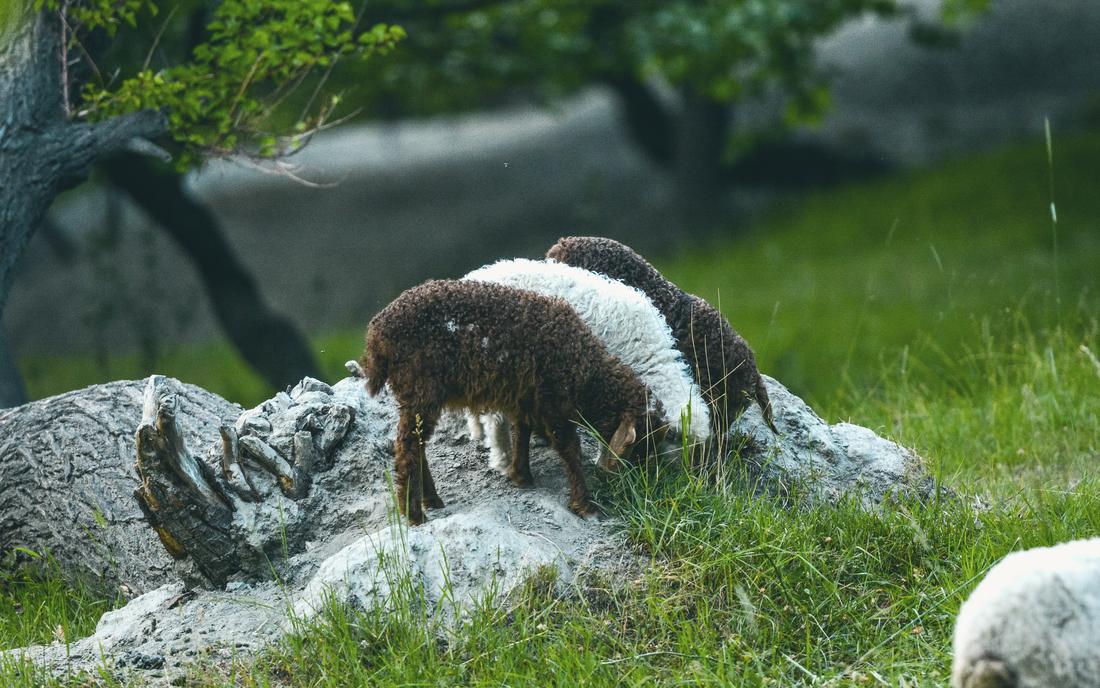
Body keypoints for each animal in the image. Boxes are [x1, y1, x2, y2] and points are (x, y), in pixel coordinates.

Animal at [359, 279, 647, 525]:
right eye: (643, 439)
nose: (644, 483)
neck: (585, 370)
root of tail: (375, 335)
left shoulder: (526, 396)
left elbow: (522, 431)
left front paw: (521, 476)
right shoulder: (552, 401)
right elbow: (570, 448)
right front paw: (585, 506)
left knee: (417, 445)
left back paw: (431, 500)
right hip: (420, 390)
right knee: (407, 449)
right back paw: (414, 513)